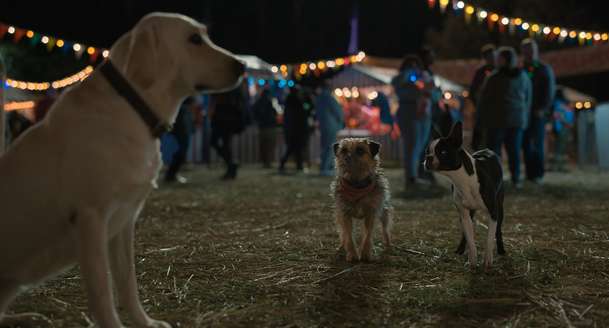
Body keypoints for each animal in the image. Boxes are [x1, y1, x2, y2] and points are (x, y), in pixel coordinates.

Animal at [422, 121, 504, 268]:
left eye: (443, 152)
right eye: (427, 151)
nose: (428, 158)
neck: (462, 179)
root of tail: (486, 149)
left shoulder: (493, 212)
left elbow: (490, 236)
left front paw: (488, 259)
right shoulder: (464, 213)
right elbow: (470, 239)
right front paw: (472, 261)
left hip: (500, 206)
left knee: (498, 229)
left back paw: (501, 250)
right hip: (468, 213)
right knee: (465, 233)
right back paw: (460, 249)